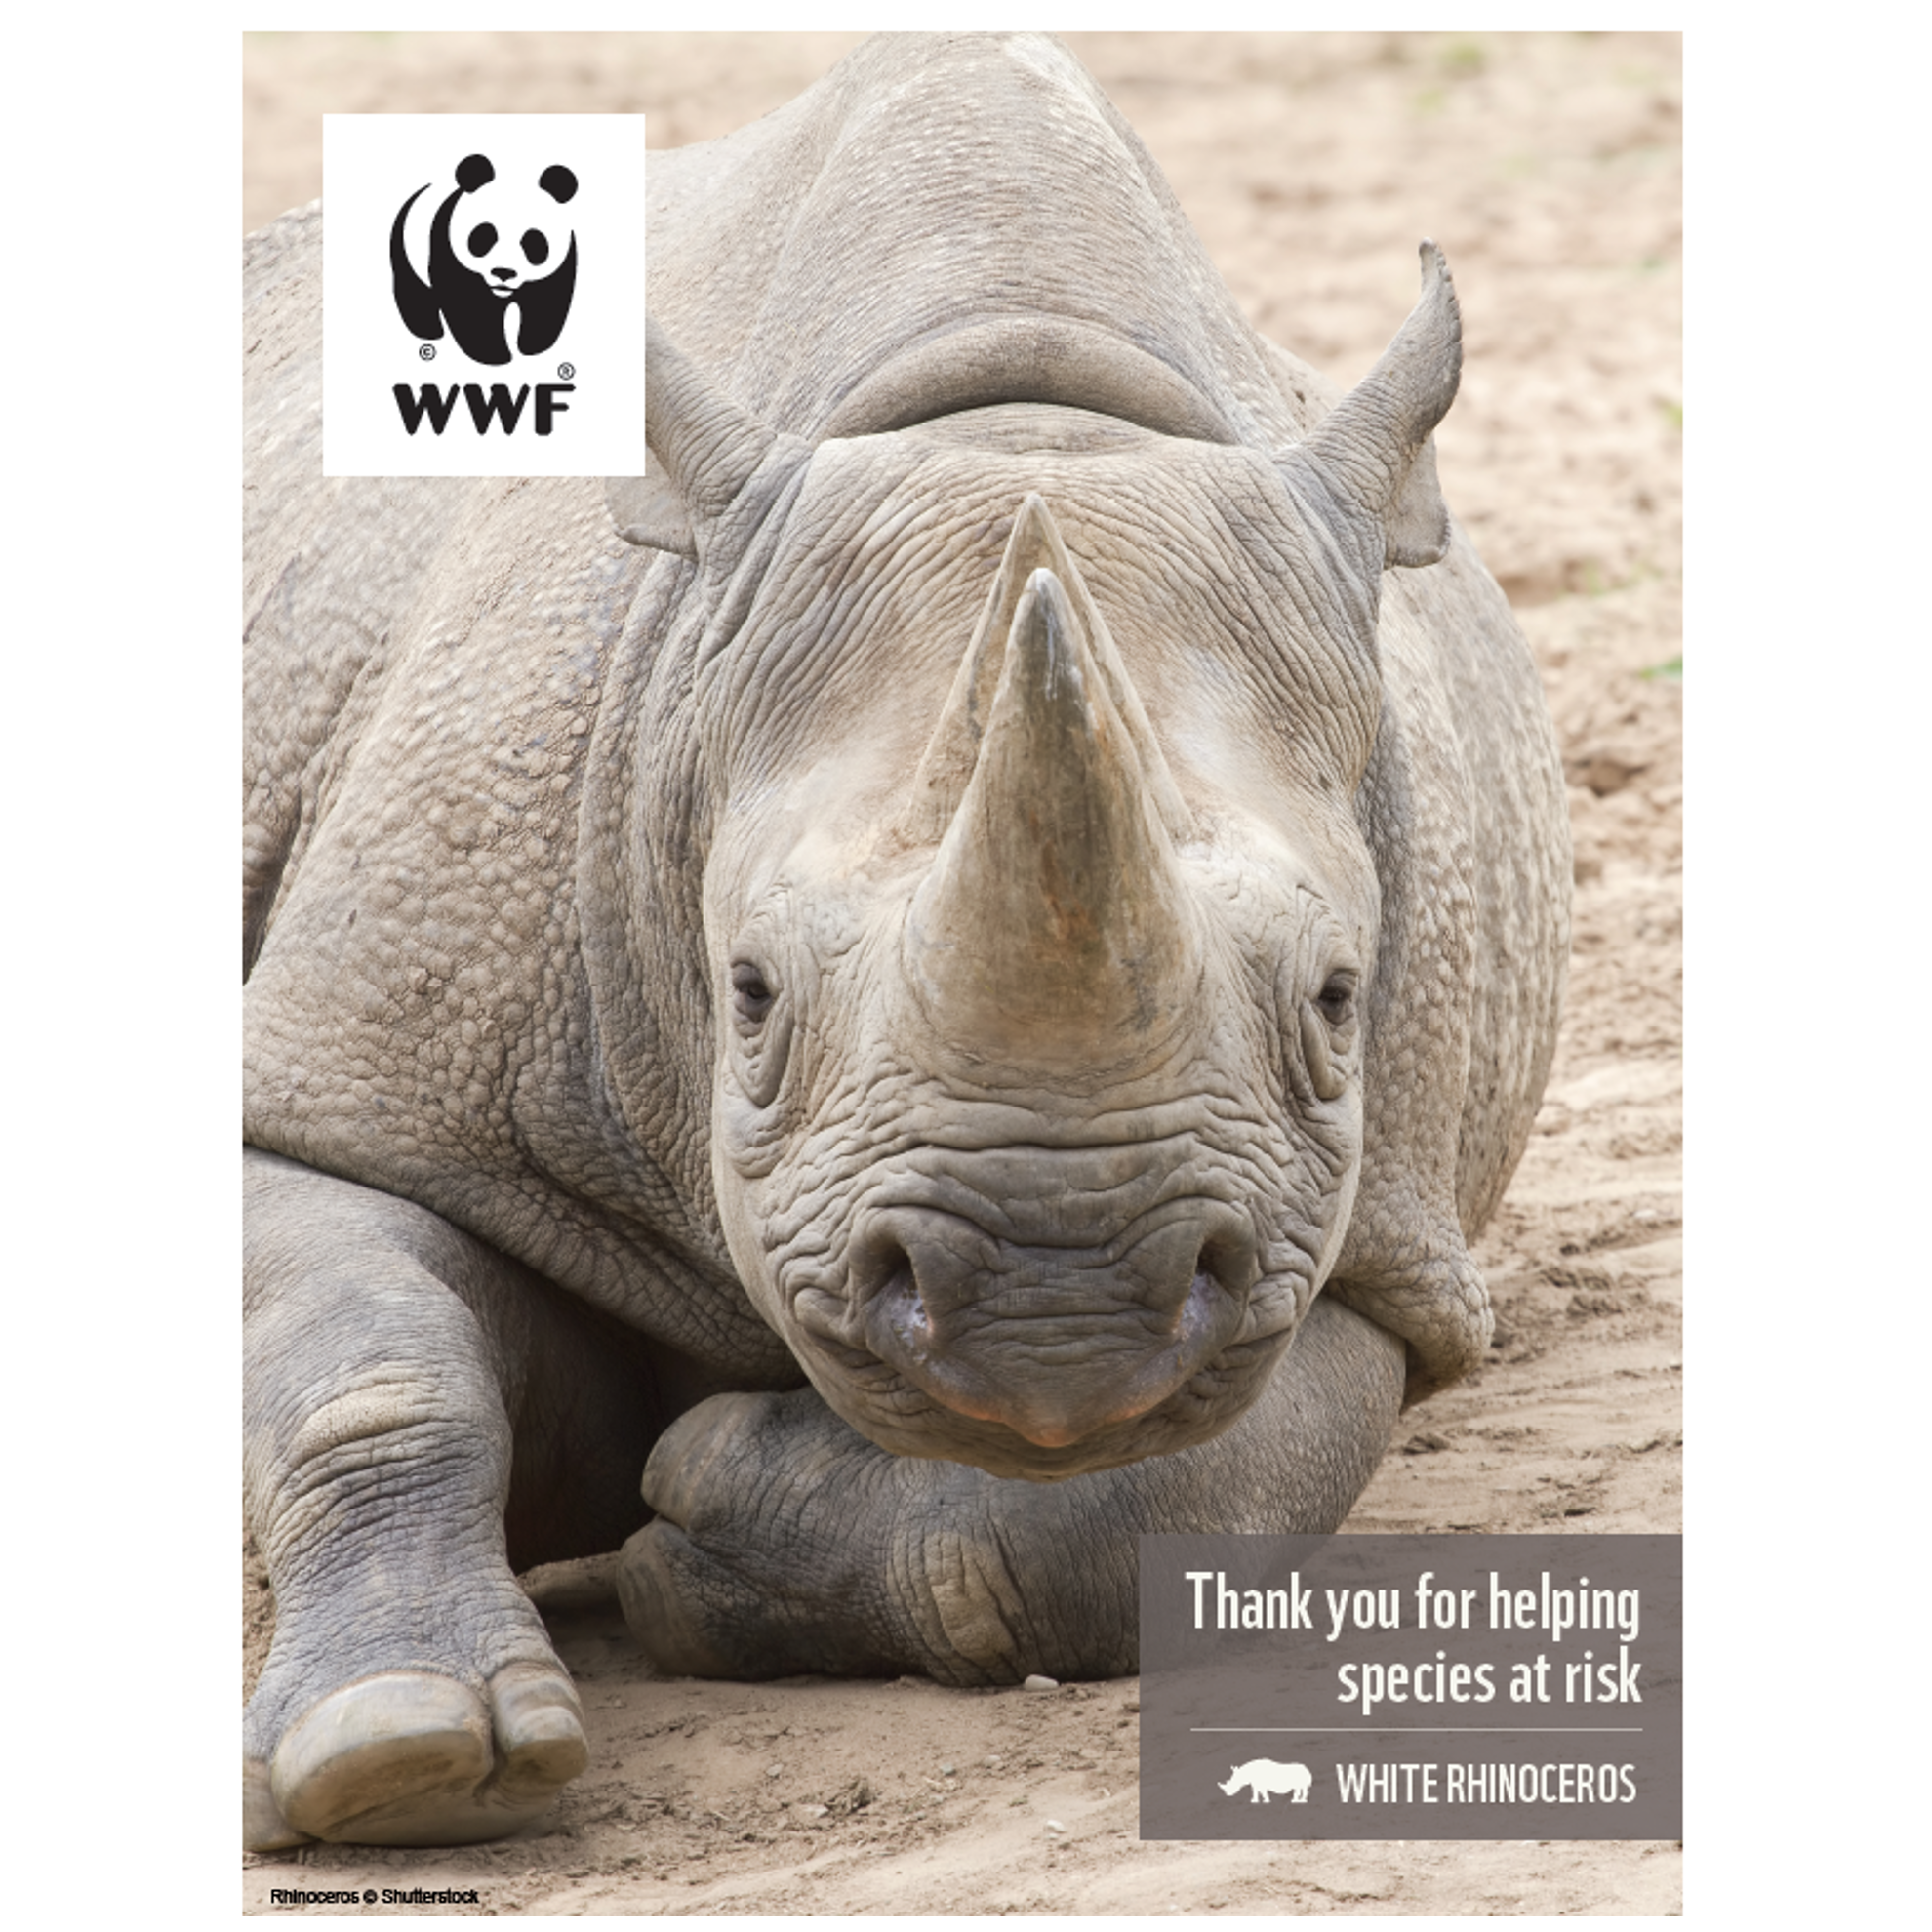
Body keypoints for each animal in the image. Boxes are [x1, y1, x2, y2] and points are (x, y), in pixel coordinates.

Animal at [241, 32, 1567, 1850]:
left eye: (1338, 998)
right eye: (747, 995)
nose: (1053, 1304)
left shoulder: (1377, 1238)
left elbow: (1141, 1511)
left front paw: (705, 1517)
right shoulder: (353, 1078)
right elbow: (371, 1353)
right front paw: (398, 1756)